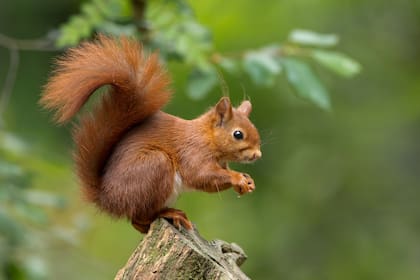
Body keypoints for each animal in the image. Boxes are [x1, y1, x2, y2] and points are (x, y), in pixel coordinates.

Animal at [40, 34, 262, 232]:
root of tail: (108, 199)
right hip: (155, 166)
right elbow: (201, 175)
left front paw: (247, 180)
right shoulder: (193, 152)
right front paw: (237, 178)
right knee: (139, 218)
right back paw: (169, 213)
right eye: (238, 134)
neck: (206, 137)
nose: (257, 155)